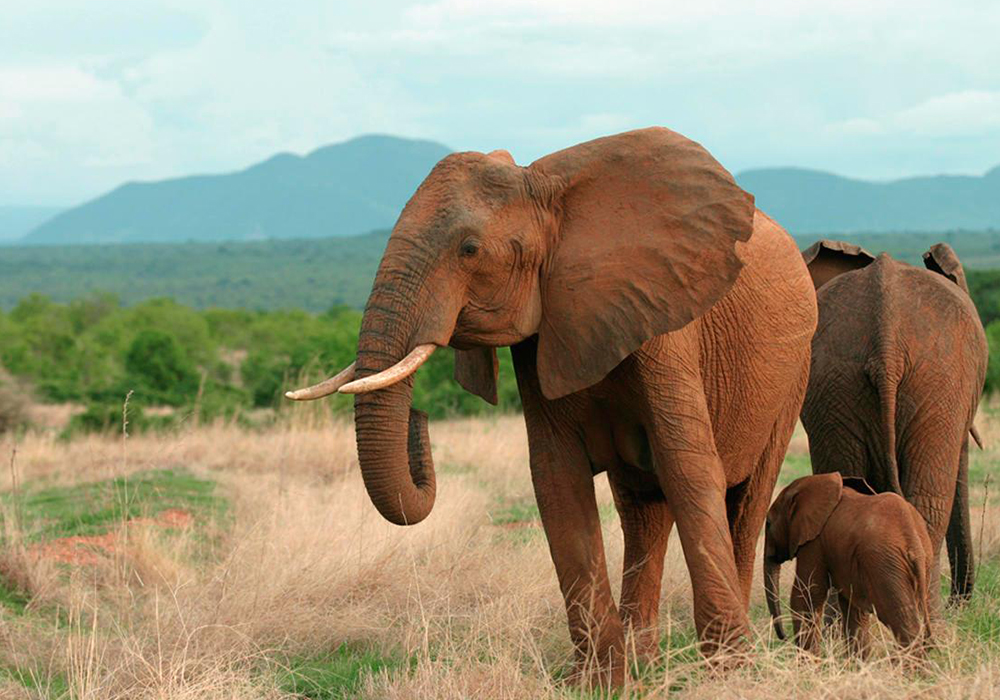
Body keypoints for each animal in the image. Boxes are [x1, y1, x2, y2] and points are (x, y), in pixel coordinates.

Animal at [286, 129, 816, 688]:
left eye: (469, 249)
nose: (420, 418)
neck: (548, 192)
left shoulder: (666, 323)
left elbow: (688, 469)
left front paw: (728, 676)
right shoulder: (542, 332)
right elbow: (557, 481)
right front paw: (599, 684)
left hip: (794, 371)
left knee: (747, 500)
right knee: (642, 511)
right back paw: (644, 662)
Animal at [764, 470, 936, 656]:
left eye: (768, 524)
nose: (783, 637)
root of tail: (913, 542)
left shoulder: (814, 543)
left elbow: (807, 595)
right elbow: (853, 608)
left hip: (885, 565)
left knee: (902, 622)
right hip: (918, 563)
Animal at [796, 241, 984, 608]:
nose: (961, 601)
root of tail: (887, 343)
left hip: (835, 386)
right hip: (939, 384)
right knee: (927, 507)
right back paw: (929, 622)